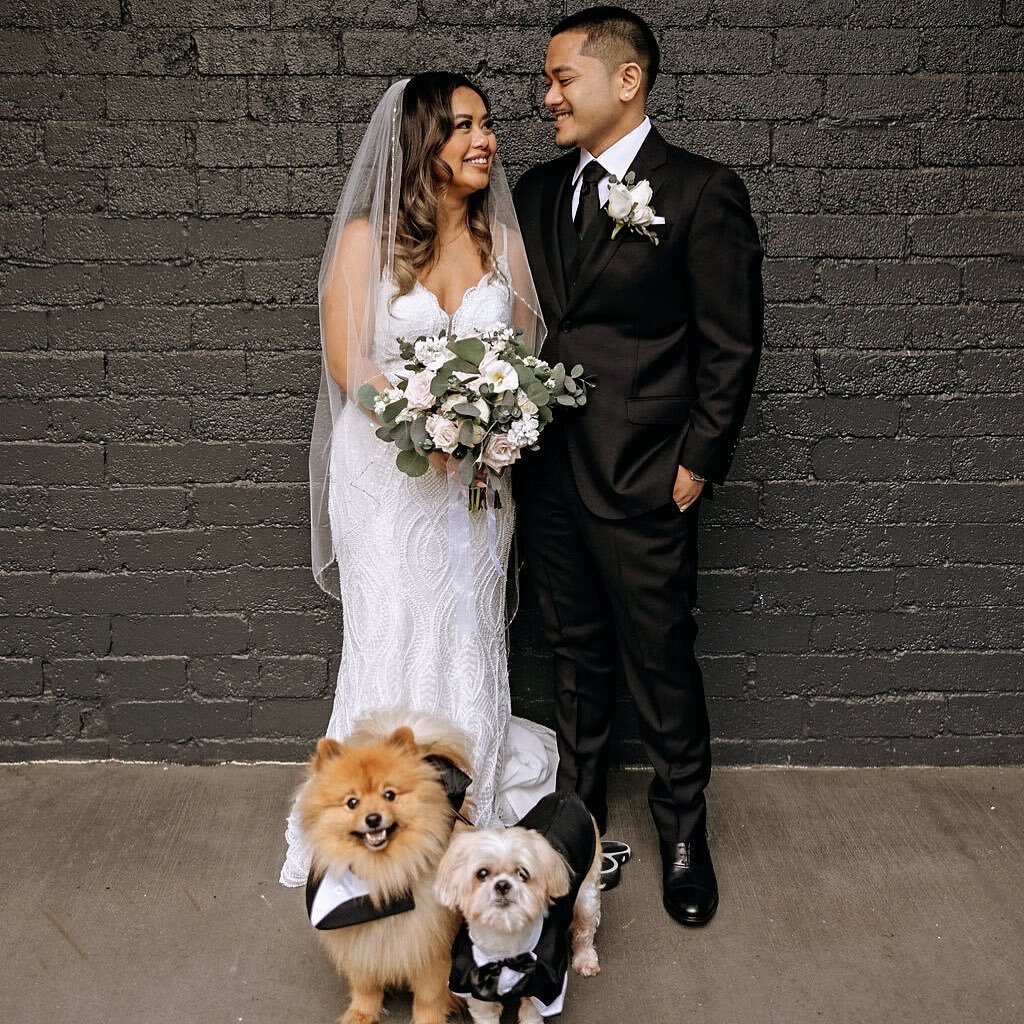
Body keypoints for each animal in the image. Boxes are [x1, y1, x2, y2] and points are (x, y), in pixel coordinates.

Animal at [296, 708, 471, 1024]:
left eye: (389, 795)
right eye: (352, 802)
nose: (373, 818)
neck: (381, 875)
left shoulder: (429, 947)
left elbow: (429, 997)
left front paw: (428, 1020)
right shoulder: (360, 945)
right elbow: (366, 987)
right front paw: (360, 1015)